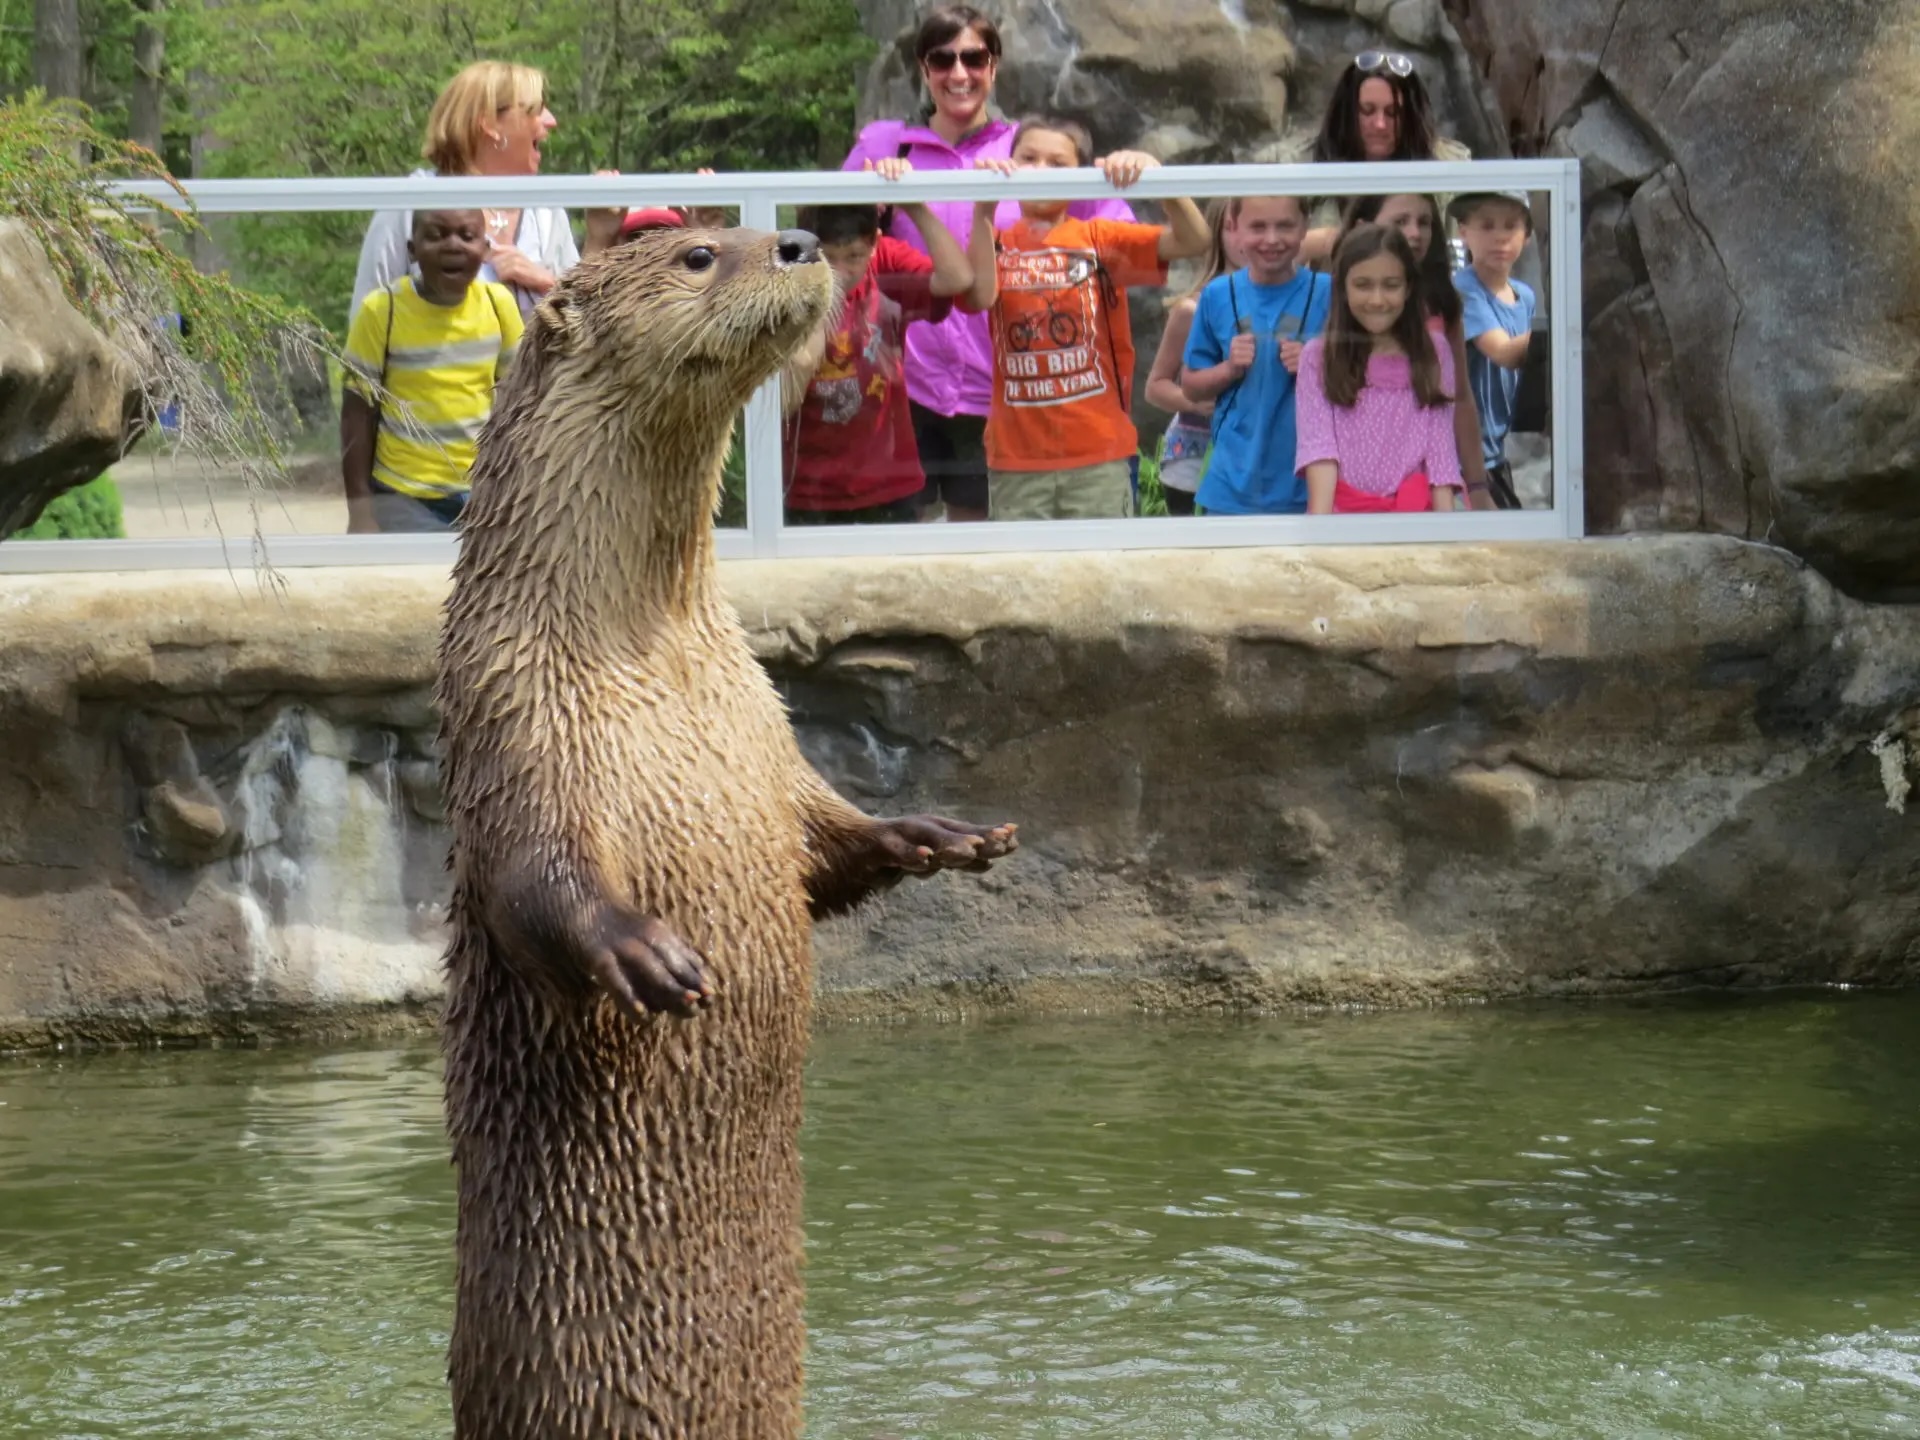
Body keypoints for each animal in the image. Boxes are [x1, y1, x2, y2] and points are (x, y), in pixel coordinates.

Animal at [434, 225, 1017, 1440]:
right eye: (700, 254)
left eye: (745, 233)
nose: (797, 240)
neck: (651, 661)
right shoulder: (514, 723)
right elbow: (534, 881)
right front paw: (644, 954)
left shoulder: (764, 730)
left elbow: (826, 845)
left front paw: (936, 834)